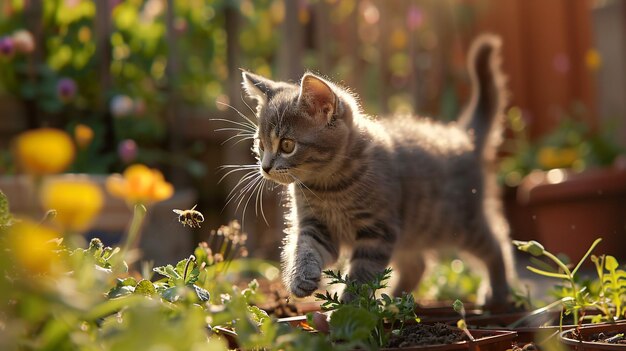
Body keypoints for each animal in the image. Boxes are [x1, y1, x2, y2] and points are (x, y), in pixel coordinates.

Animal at [239, 35, 512, 310]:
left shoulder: (378, 231)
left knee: (497, 244)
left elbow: (363, 274)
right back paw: (395, 301)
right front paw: (300, 276)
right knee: (417, 266)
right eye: (260, 144)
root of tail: (463, 138)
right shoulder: (316, 224)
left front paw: (349, 308)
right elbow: (305, 247)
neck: (329, 186)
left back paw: (498, 292)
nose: (265, 166)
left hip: (459, 222)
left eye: (287, 145)